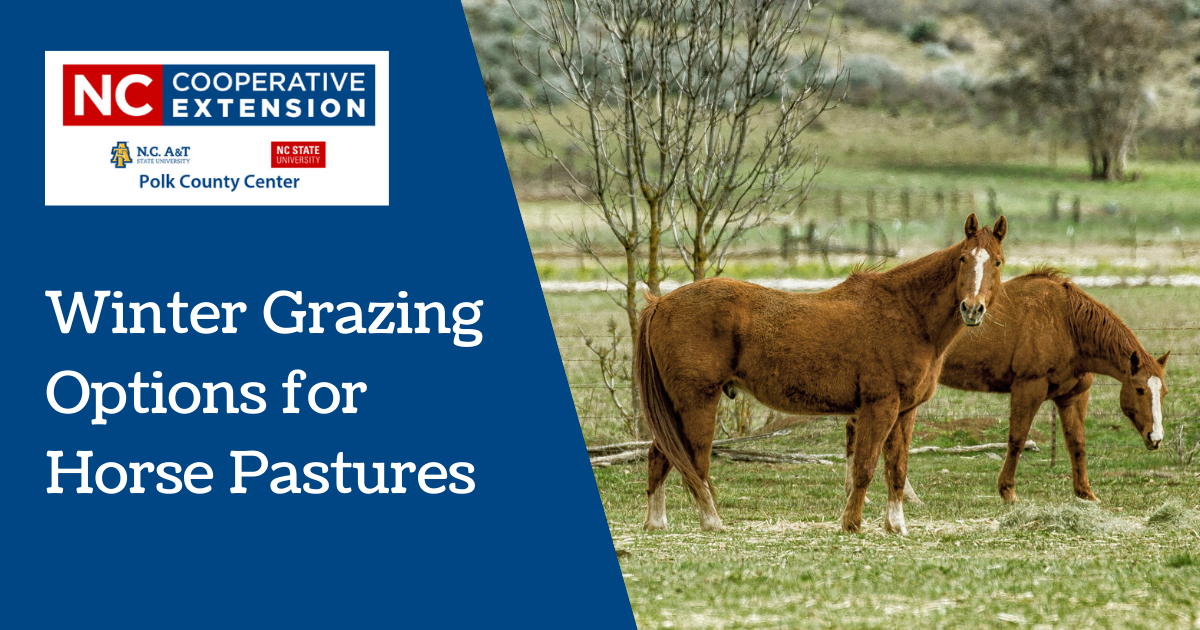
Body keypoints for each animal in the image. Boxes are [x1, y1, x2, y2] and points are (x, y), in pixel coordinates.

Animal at [636, 214, 1007, 534]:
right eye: (963, 259)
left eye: (998, 261)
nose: (972, 309)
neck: (907, 314)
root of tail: (660, 303)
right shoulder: (880, 405)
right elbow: (865, 466)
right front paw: (852, 523)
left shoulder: (905, 411)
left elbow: (896, 469)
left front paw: (896, 525)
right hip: (696, 402)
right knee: (694, 462)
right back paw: (711, 522)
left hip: (677, 406)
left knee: (660, 456)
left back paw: (656, 523)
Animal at [844, 268, 1170, 504]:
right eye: (1140, 389)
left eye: (1163, 392)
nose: (1155, 437)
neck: (1067, 322)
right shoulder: (1029, 388)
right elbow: (1016, 440)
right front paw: (1008, 491)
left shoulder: (1072, 397)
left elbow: (1077, 443)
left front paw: (1085, 493)